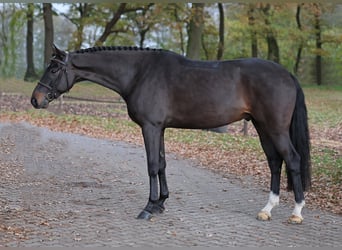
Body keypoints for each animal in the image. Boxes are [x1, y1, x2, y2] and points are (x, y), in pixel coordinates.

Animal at [30, 46, 312, 224]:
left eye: (53, 69)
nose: (36, 99)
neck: (139, 73)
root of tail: (287, 74)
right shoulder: (160, 128)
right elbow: (163, 164)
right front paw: (161, 203)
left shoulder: (150, 127)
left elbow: (152, 165)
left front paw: (148, 207)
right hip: (262, 127)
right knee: (275, 161)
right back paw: (267, 209)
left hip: (275, 128)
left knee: (292, 159)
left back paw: (297, 213)